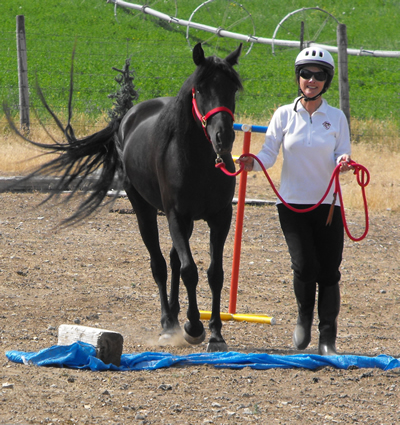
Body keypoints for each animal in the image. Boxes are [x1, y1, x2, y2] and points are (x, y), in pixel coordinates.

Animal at [5, 42, 244, 352]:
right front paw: (194, 327)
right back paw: (169, 324)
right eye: (200, 89)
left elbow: (215, 273)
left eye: (233, 88)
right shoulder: (176, 216)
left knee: (173, 260)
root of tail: (128, 117)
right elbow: (189, 269)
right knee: (160, 265)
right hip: (144, 208)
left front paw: (215, 333)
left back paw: (174, 318)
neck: (201, 163)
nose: (222, 137)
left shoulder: (220, 217)